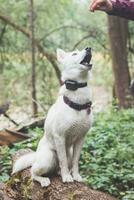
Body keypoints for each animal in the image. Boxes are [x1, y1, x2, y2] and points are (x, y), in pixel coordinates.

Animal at [12, 47, 92, 188]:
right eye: (74, 53)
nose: (88, 48)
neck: (77, 100)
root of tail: (36, 156)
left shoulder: (81, 138)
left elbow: (76, 161)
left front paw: (76, 176)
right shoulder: (59, 137)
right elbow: (63, 161)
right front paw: (66, 177)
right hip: (47, 159)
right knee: (33, 172)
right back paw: (44, 179)